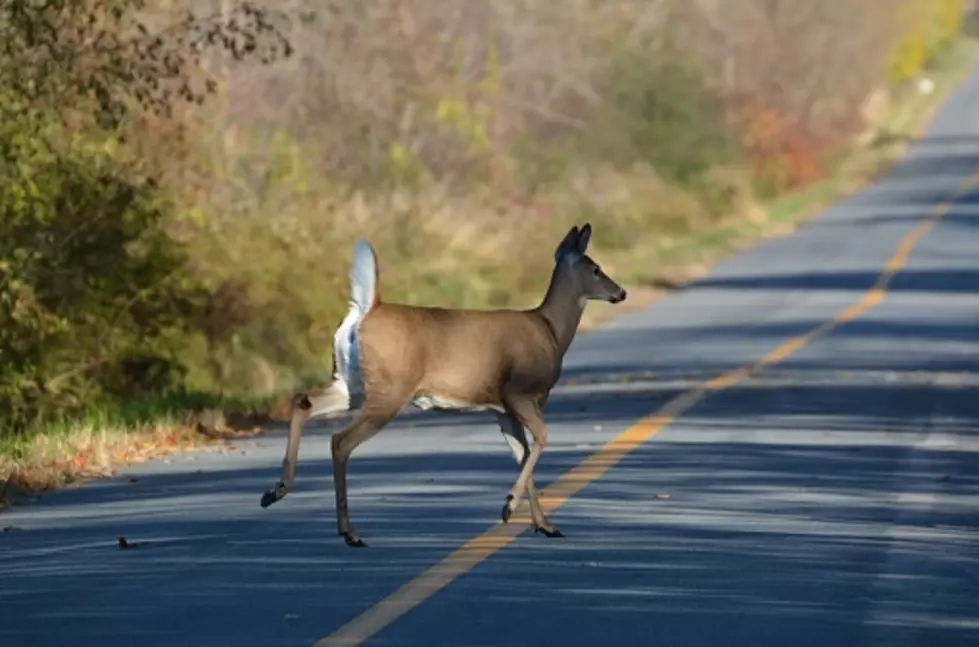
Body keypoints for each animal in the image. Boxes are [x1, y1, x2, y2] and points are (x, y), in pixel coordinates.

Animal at [260, 223, 628, 548]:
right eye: (596, 269)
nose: (621, 292)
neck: (550, 329)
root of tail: (366, 310)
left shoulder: (502, 409)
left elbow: (521, 453)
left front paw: (544, 525)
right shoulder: (519, 392)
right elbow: (541, 439)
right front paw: (509, 507)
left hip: (350, 384)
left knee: (303, 401)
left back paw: (275, 491)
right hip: (389, 391)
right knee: (340, 441)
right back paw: (349, 533)